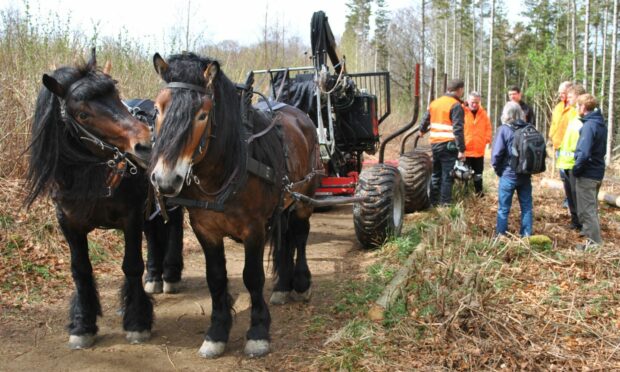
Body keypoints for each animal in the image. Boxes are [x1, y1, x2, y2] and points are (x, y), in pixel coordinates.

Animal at [150, 52, 320, 358]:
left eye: (202, 114)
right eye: (157, 110)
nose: (165, 179)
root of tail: (301, 115)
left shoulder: (254, 229)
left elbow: (252, 276)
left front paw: (258, 332)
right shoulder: (205, 229)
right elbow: (216, 277)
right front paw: (217, 333)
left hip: (304, 199)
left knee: (300, 237)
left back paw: (301, 284)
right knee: (287, 238)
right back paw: (282, 286)